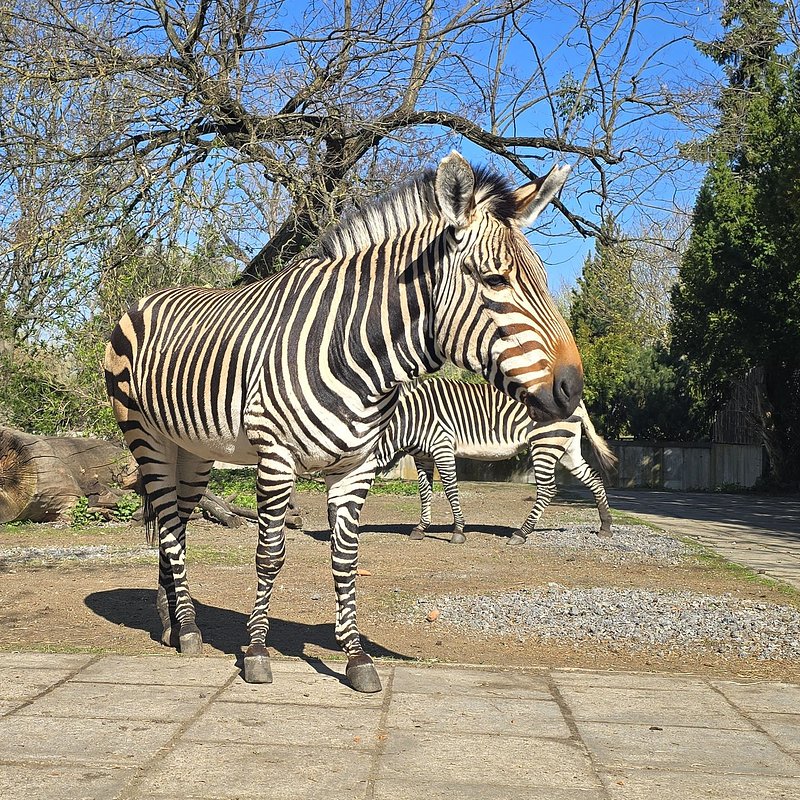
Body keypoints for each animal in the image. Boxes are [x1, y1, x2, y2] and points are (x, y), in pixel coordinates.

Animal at [104, 151, 583, 693]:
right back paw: (186, 629)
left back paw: (171, 621)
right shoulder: (275, 457)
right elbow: (270, 554)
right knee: (167, 524)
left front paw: (356, 658)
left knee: (176, 525)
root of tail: (146, 297)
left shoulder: (356, 465)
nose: (574, 388)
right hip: (147, 439)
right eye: (495, 280)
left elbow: (347, 558)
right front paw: (256, 653)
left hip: (194, 450)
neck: (352, 348)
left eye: (542, 278)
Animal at [375, 379, 616, 543]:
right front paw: (421, 528)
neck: (410, 417)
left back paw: (521, 533)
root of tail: (578, 403)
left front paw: (458, 531)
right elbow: (424, 493)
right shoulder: (422, 456)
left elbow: (450, 489)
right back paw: (605, 526)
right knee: (594, 478)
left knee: (548, 489)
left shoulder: (442, 447)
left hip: (545, 443)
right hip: (567, 448)